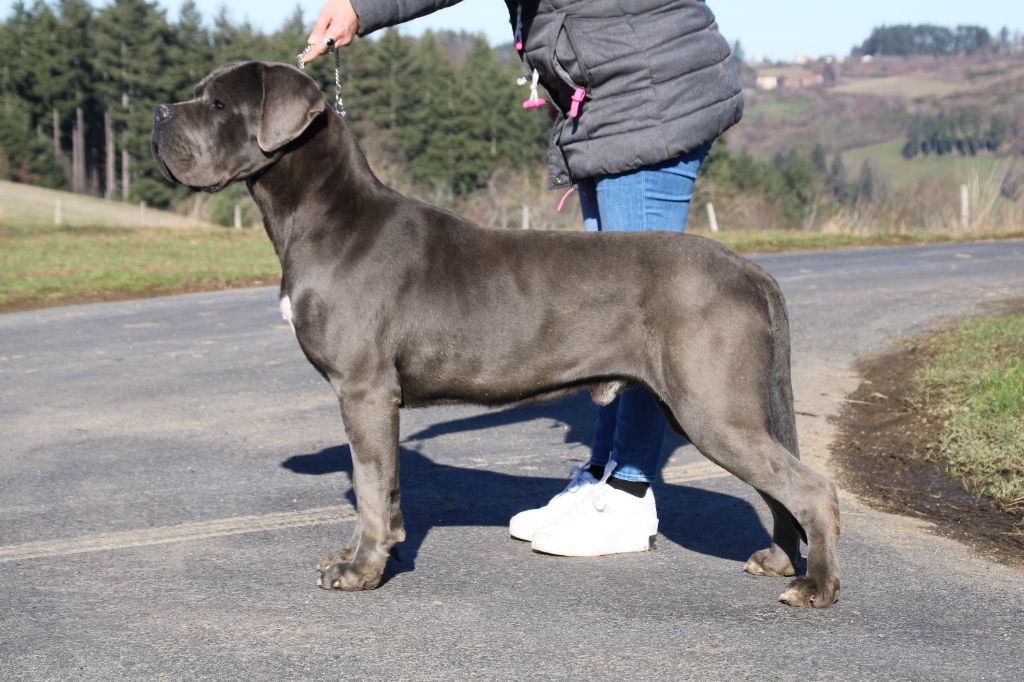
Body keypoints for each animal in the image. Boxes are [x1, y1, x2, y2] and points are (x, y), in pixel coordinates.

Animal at [151, 62, 839, 606]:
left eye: (218, 104)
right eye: (197, 93)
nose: (158, 113)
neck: (323, 215)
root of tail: (749, 268)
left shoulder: (364, 389)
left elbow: (370, 486)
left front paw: (360, 572)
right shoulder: (374, 398)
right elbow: (383, 487)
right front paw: (365, 555)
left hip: (713, 408)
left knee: (810, 487)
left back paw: (816, 586)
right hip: (715, 407)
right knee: (779, 489)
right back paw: (780, 561)